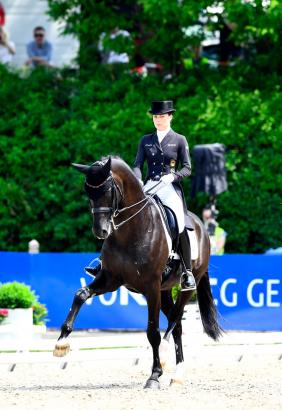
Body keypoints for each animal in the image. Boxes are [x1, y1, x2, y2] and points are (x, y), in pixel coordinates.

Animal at [52, 155, 220, 390]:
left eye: (107, 190)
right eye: (88, 192)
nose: (100, 231)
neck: (131, 229)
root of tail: (201, 226)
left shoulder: (150, 287)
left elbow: (152, 332)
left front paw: (154, 376)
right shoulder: (110, 279)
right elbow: (80, 294)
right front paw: (61, 343)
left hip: (185, 286)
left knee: (174, 319)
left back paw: (168, 361)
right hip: (164, 290)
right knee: (177, 326)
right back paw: (177, 375)